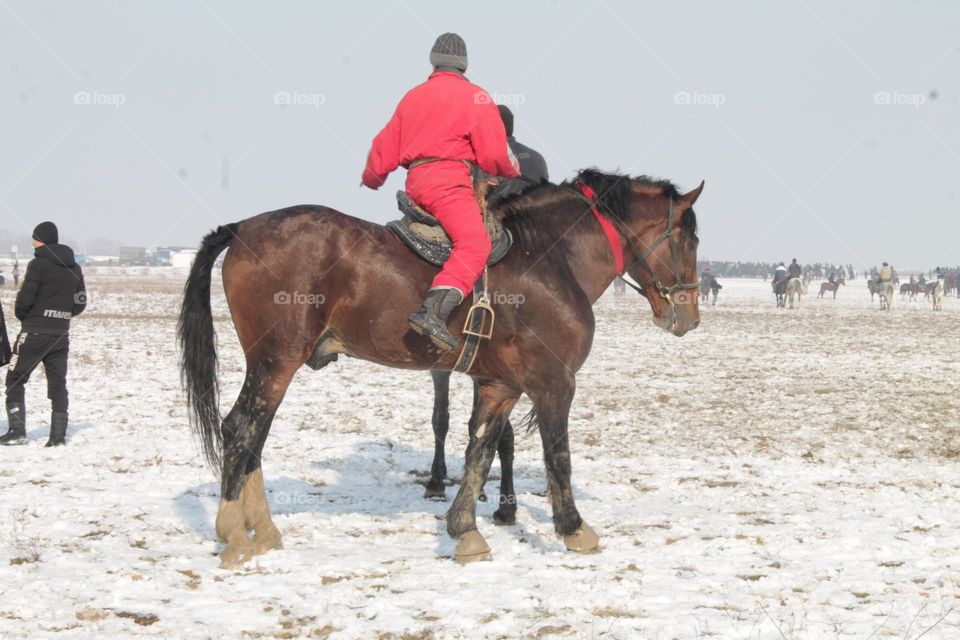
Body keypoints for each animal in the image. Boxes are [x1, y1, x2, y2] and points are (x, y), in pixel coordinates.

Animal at [177, 168, 703, 568]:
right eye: (691, 241)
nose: (690, 316)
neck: (549, 257)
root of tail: (242, 227)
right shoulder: (555, 383)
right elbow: (558, 456)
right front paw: (574, 528)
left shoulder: (498, 387)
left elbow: (480, 453)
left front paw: (464, 529)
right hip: (275, 361)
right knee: (240, 430)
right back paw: (235, 535)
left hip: (273, 367)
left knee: (254, 437)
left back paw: (262, 530)